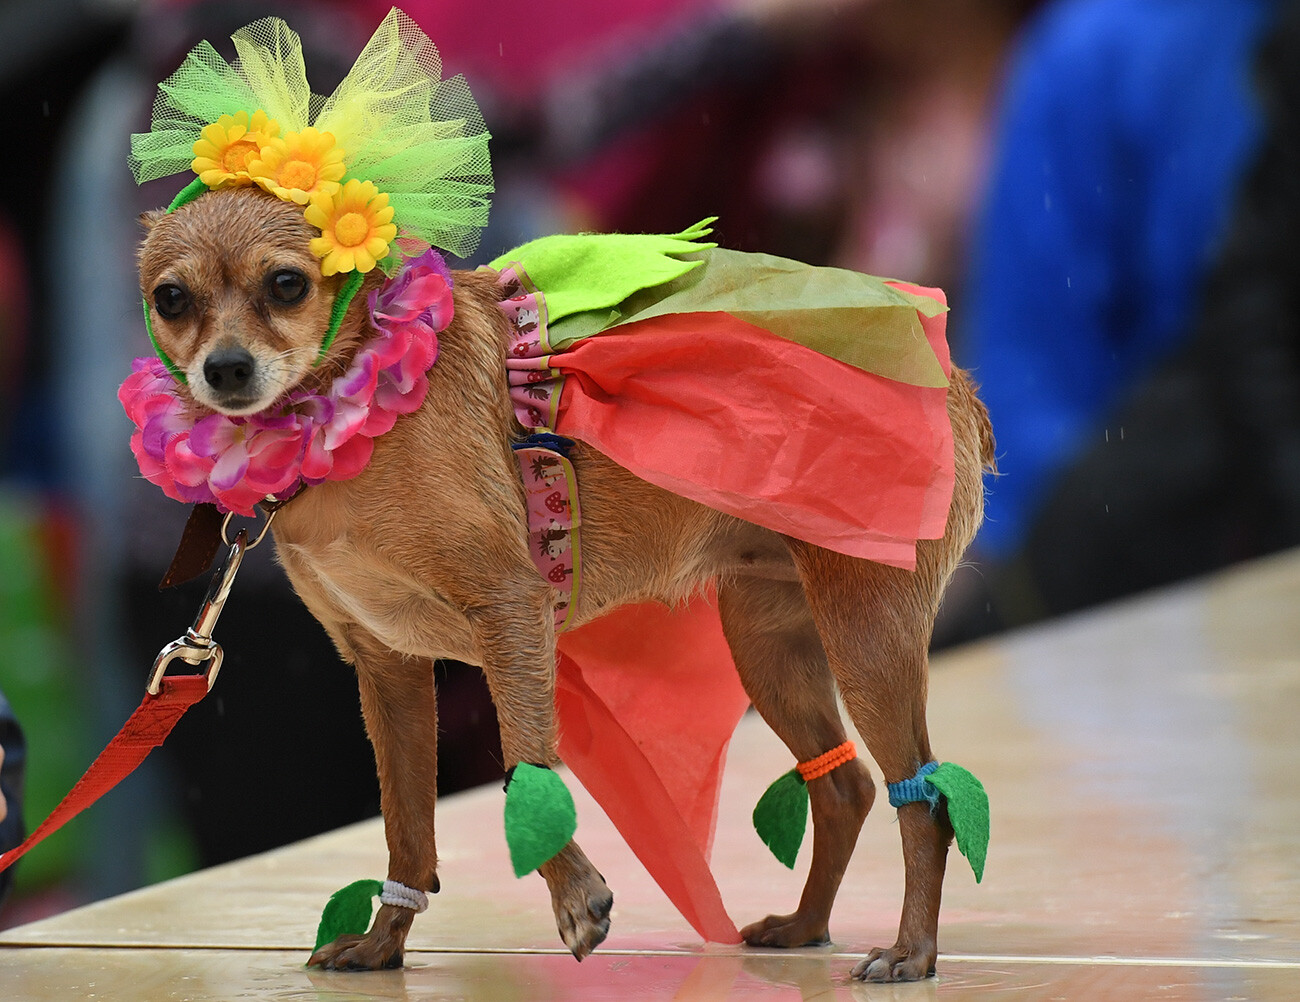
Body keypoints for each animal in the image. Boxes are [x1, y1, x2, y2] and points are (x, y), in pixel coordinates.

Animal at [139, 185, 993, 977]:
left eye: (288, 284)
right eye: (169, 298)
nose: (225, 368)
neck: (352, 409)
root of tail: (955, 379)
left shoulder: (511, 616)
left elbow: (524, 765)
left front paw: (577, 898)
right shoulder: (387, 668)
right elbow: (407, 830)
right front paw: (385, 943)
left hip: (866, 635)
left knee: (923, 799)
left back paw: (911, 951)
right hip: (771, 644)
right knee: (843, 787)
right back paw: (806, 924)